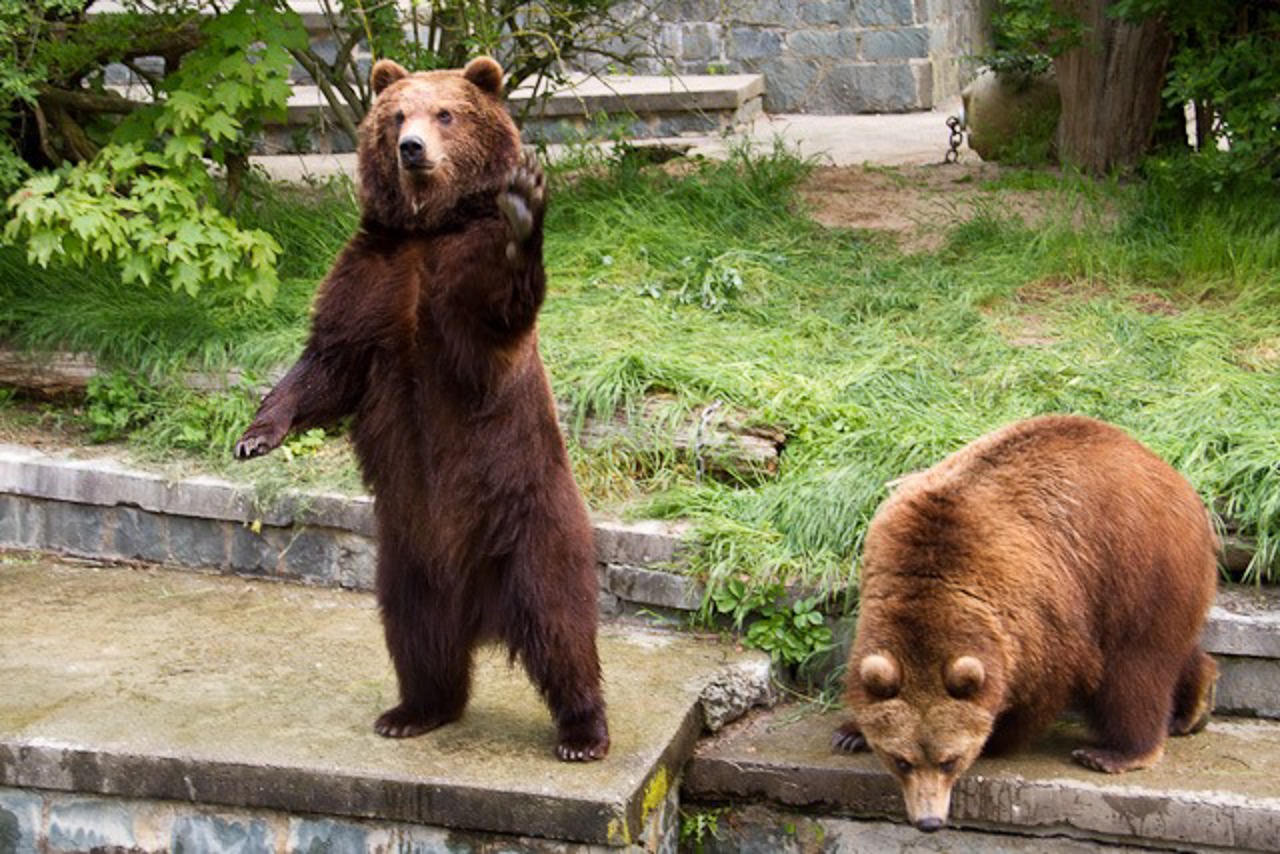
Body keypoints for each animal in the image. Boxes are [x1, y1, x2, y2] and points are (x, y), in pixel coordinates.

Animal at [233, 56, 609, 761]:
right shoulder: (371, 278)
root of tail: (481, 614)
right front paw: (256, 436)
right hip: (404, 554)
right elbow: (326, 364)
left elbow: (498, 314)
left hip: (530, 522)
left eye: (446, 113)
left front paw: (525, 213)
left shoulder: (461, 295)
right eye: (397, 115)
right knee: (415, 633)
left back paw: (583, 730)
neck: (429, 228)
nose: (411, 148)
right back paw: (415, 709)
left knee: (560, 625)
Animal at [832, 414, 1217, 831]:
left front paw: (997, 735)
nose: (929, 821)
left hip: (1134, 566)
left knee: (1135, 667)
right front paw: (850, 733)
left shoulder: (1036, 611)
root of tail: (1168, 471)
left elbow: (1039, 686)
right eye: (901, 760)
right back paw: (1195, 705)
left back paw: (1116, 753)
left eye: (949, 760)